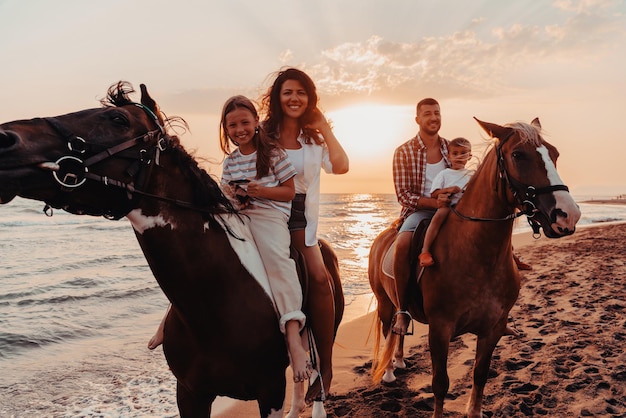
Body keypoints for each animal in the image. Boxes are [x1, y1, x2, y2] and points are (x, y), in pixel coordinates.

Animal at [370, 118, 580, 418]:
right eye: (518, 155)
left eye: (555, 153)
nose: (568, 215)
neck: (478, 257)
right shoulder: (440, 329)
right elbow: (440, 384)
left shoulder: (493, 328)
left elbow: (480, 374)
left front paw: (475, 410)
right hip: (385, 302)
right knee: (390, 329)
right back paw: (388, 371)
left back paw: (398, 361)